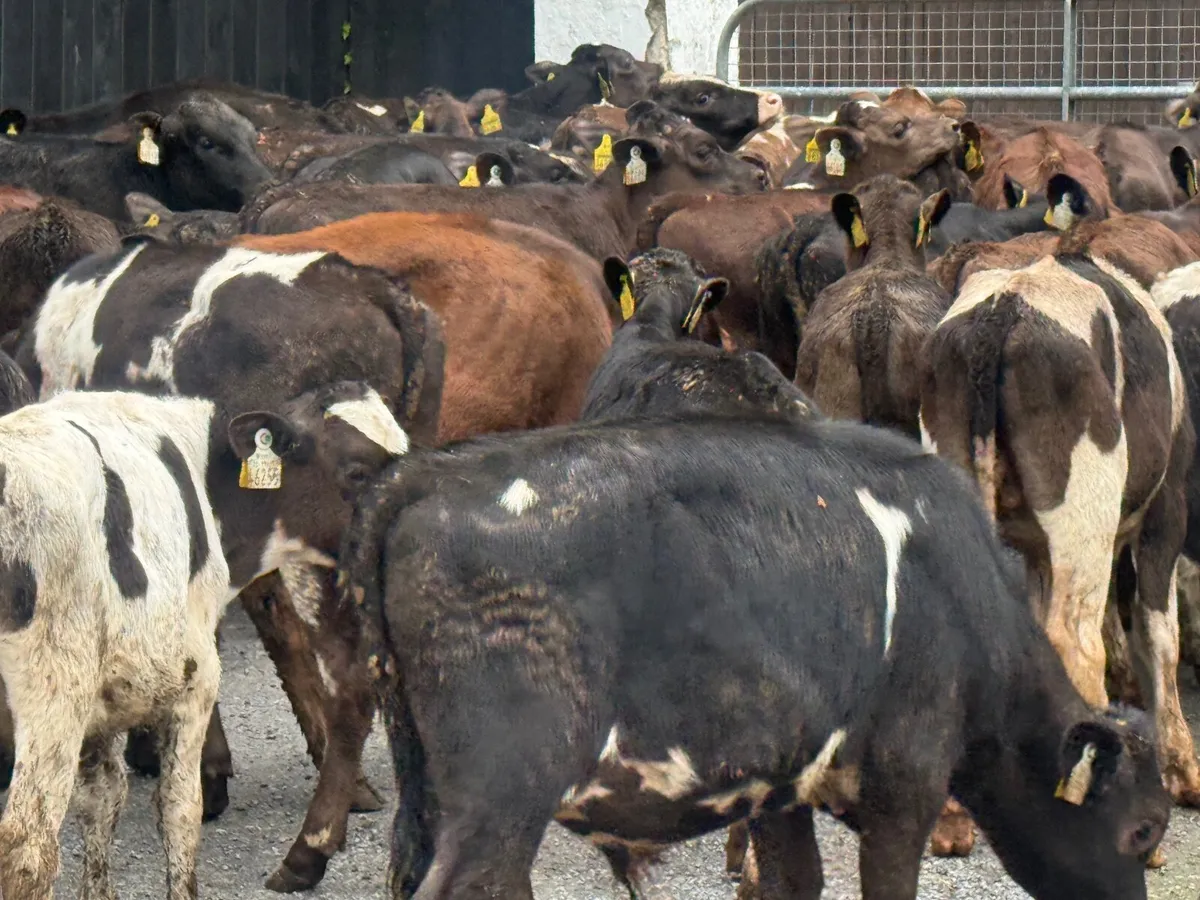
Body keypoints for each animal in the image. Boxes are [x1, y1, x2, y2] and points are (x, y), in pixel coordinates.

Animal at [339, 413, 1170, 900]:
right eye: (1144, 831)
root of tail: (429, 472)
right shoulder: (906, 783)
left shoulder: (779, 790)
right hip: (505, 792)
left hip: (441, 790)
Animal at [920, 254, 1200, 815]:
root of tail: (1003, 310)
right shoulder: (1167, 512)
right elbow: (1161, 635)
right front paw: (1184, 769)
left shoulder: (1036, 552)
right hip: (1083, 522)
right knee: (1077, 647)